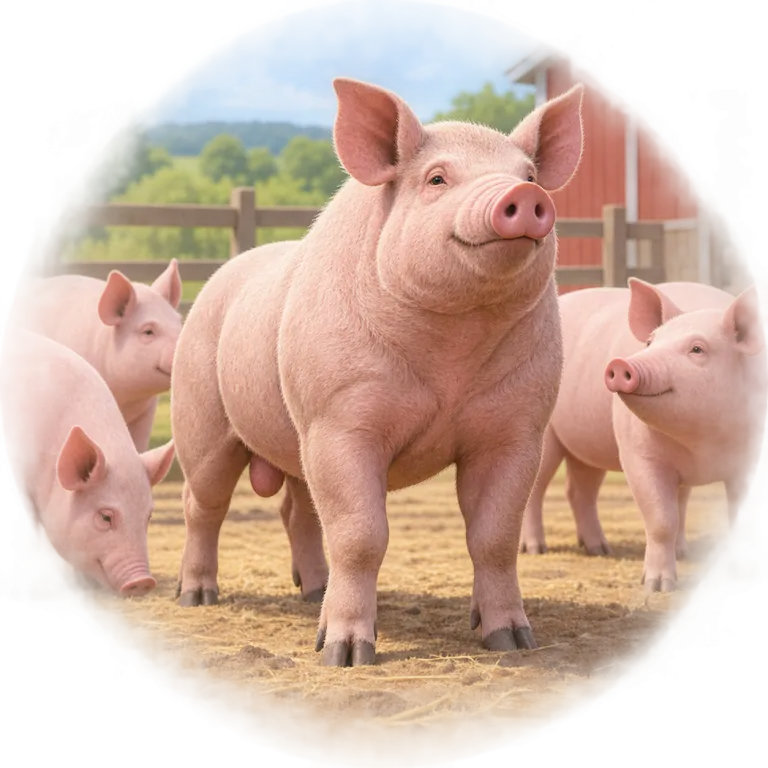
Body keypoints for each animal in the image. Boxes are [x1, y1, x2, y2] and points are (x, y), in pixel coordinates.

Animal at [0, 325, 176, 598]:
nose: (143, 581)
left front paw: (88, 585)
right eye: (105, 517)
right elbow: (31, 531)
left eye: (148, 517)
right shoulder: (20, 483)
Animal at [170, 76, 585, 666]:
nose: (525, 197)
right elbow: (360, 535)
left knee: (297, 512)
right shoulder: (337, 421)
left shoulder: (517, 429)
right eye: (437, 178)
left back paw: (314, 592)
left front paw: (513, 641)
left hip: (294, 441)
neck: (451, 354)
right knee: (202, 504)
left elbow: (494, 536)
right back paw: (197, 597)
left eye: (528, 175)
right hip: (202, 414)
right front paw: (344, 656)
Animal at [520, 278, 768, 593]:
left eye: (697, 349)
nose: (620, 364)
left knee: (579, 490)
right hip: (543, 435)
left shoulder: (751, 460)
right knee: (535, 490)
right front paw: (657, 587)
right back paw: (535, 549)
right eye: (650, 342)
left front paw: (743, 574)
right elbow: (661, 520)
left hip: (587, 447)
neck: (702, 447)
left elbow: (739, 518)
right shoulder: (636, 453)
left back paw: (600, 549)